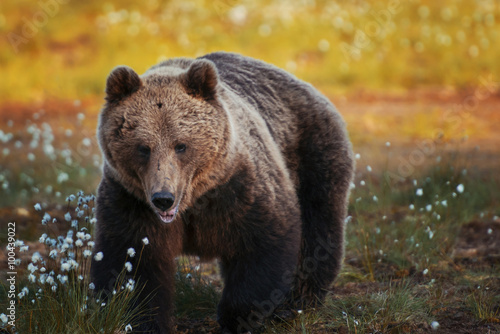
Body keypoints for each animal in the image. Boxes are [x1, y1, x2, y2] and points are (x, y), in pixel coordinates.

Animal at [91, 51, 356, 332]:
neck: (194, 201)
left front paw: (239, 316)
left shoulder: (239, 189)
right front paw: (139, 318)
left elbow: (264, 243)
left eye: (181, 145)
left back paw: (297, 302)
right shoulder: (131, 200)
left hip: (313, 156)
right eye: (143, 147)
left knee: (317, 230)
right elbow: (132, 261)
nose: (163, 199)